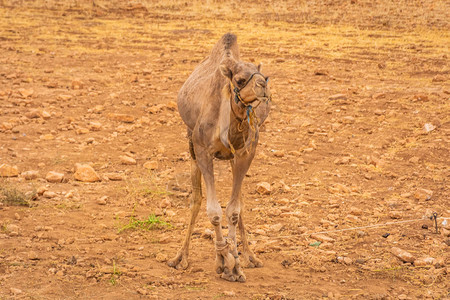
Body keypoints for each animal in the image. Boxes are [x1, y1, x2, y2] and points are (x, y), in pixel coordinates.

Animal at [168, 32, 270, 282]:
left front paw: (235, 265)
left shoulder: (245, 154)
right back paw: (180, 257)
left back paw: (250, 256)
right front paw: (224, 261)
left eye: (265, 76)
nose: (263, 85)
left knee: (238, 201)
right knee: (196, 199)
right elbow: (213, 212)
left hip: (231, 158)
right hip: (191, 144)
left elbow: (233, 210)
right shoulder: (203, 151)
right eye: (240, 80)